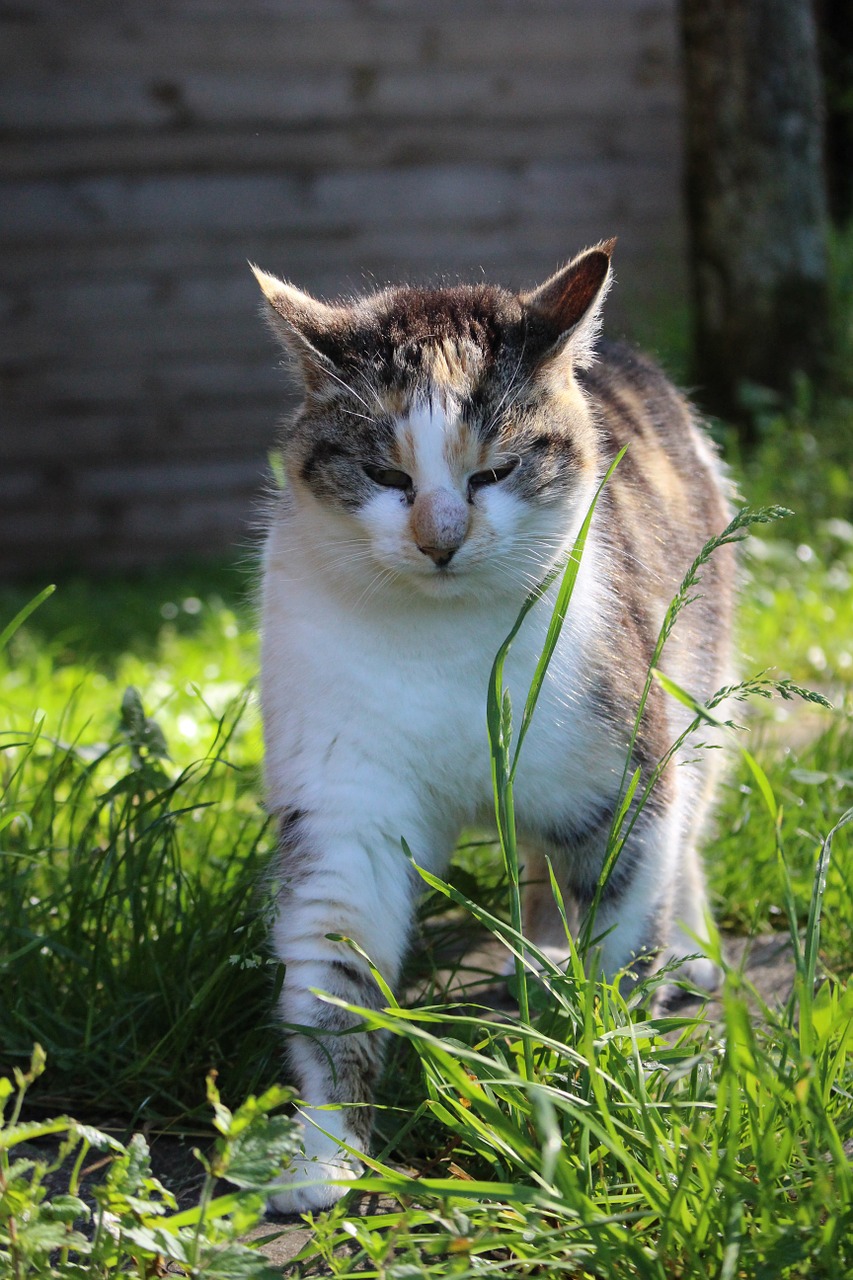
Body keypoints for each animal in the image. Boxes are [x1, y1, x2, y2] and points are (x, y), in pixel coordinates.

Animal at [251, 244, 732, 1213]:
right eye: (386, 476)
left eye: (495, 472)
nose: (440, 537)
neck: (444, 646)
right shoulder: (344, 807)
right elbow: (334, 984)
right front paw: (325, 1157)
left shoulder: (617, 784)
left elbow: (619, 936)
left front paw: (601, 1077)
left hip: (695, 682)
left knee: (690, 827)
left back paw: (686, 954)